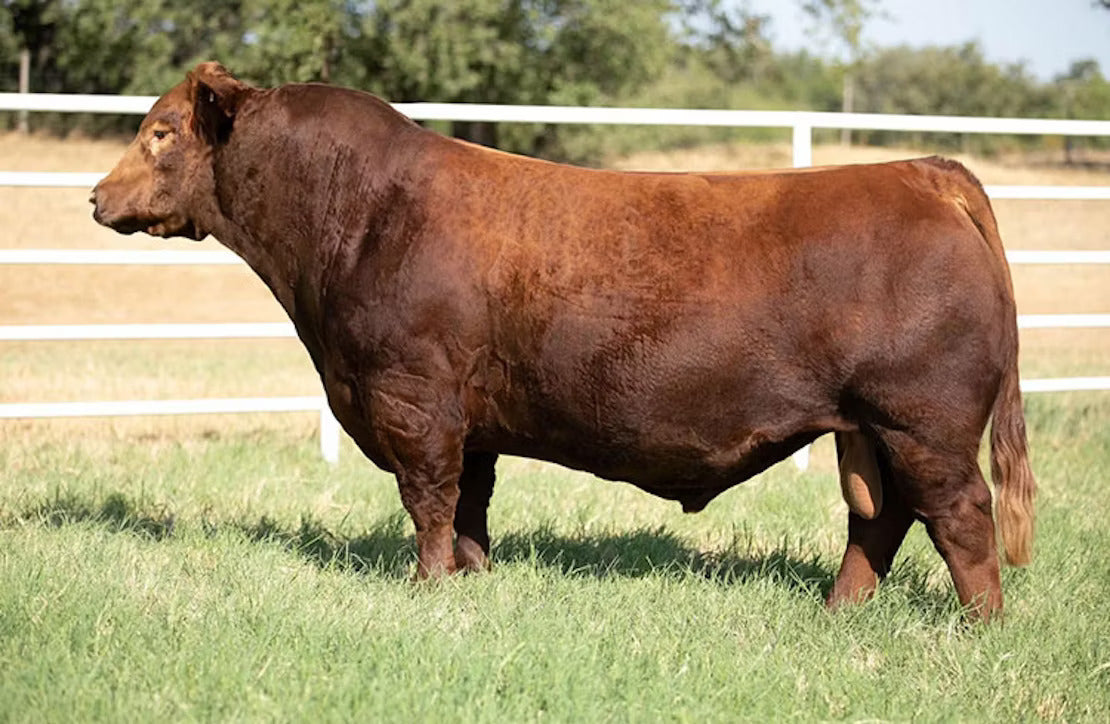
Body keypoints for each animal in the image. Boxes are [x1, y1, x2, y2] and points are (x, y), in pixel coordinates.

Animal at [91, 62, 1035, 620]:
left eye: (161, 131)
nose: (97, 197)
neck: (353, 216)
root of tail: (921, 172)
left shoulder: (412, 400)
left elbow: (427, 500)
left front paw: (426, 588)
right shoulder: (467, 419)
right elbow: (470, 505)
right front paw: (472, 581)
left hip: (922, 419)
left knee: (961, 515)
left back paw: (977, 627)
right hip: (866, 428)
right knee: (878, 519)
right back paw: (841, 612)